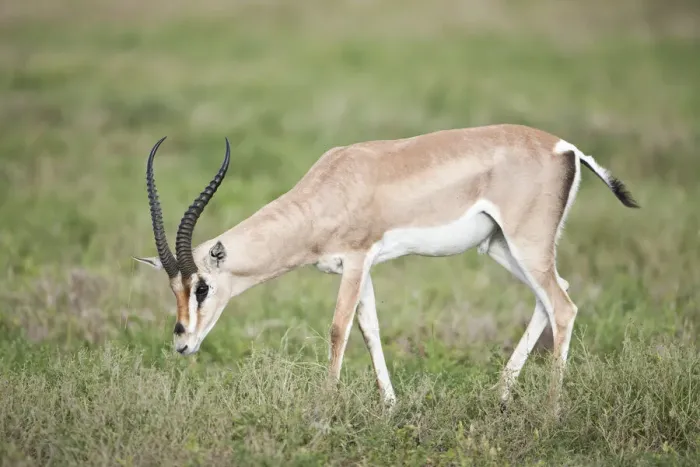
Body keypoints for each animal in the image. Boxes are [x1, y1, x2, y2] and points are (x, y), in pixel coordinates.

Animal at [134, 124, 638, 408]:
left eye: (201, 287)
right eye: (173, 290)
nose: (182, 343)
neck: (332, 189)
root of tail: (566, 148)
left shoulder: (357, 259)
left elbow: (338, 329)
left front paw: (324, 411)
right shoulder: (362, 269)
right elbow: (369, 328)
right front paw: (391, 405)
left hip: (525, 244)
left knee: (563, 306)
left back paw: (550, 414)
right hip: (502, 248)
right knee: (552, 298)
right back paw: (500, 396)